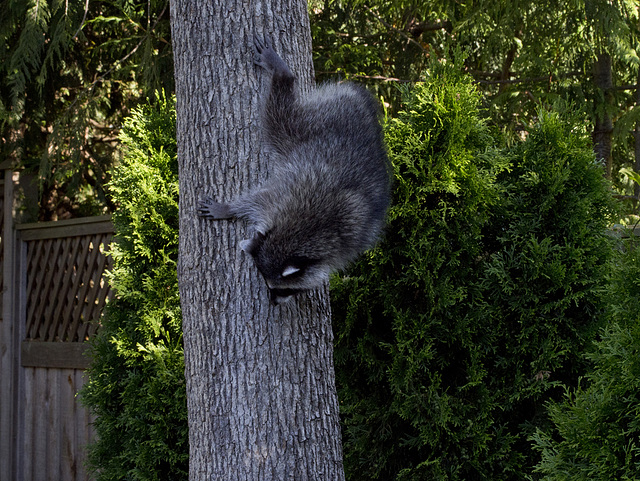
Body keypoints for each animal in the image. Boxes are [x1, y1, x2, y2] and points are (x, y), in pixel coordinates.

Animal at [200, 36, 390, 304]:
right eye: (269, 285)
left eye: (285, 290)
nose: (274, 302)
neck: (304, 232)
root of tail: (358, 101)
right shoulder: (286, 194)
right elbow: (254, 199)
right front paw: (229, 208)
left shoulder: (346, 238)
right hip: (313, 124)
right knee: (280, 118)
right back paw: (284, 76)